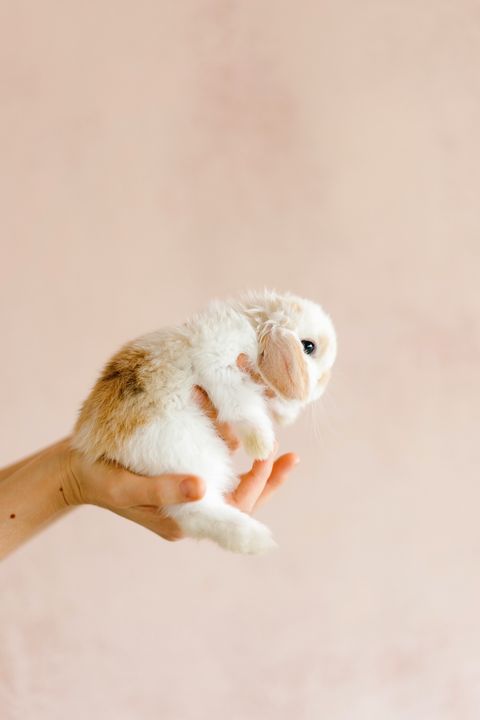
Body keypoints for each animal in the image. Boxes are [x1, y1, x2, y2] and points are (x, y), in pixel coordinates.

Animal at [72, 289, 337, 554]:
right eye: (308, 346)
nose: (321, 387)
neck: (253, 326)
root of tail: (99, 445)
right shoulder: (224, 370)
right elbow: (245, 409)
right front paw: (262, 446)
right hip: (184, 461)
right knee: (193, 513)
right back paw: (256, 539)